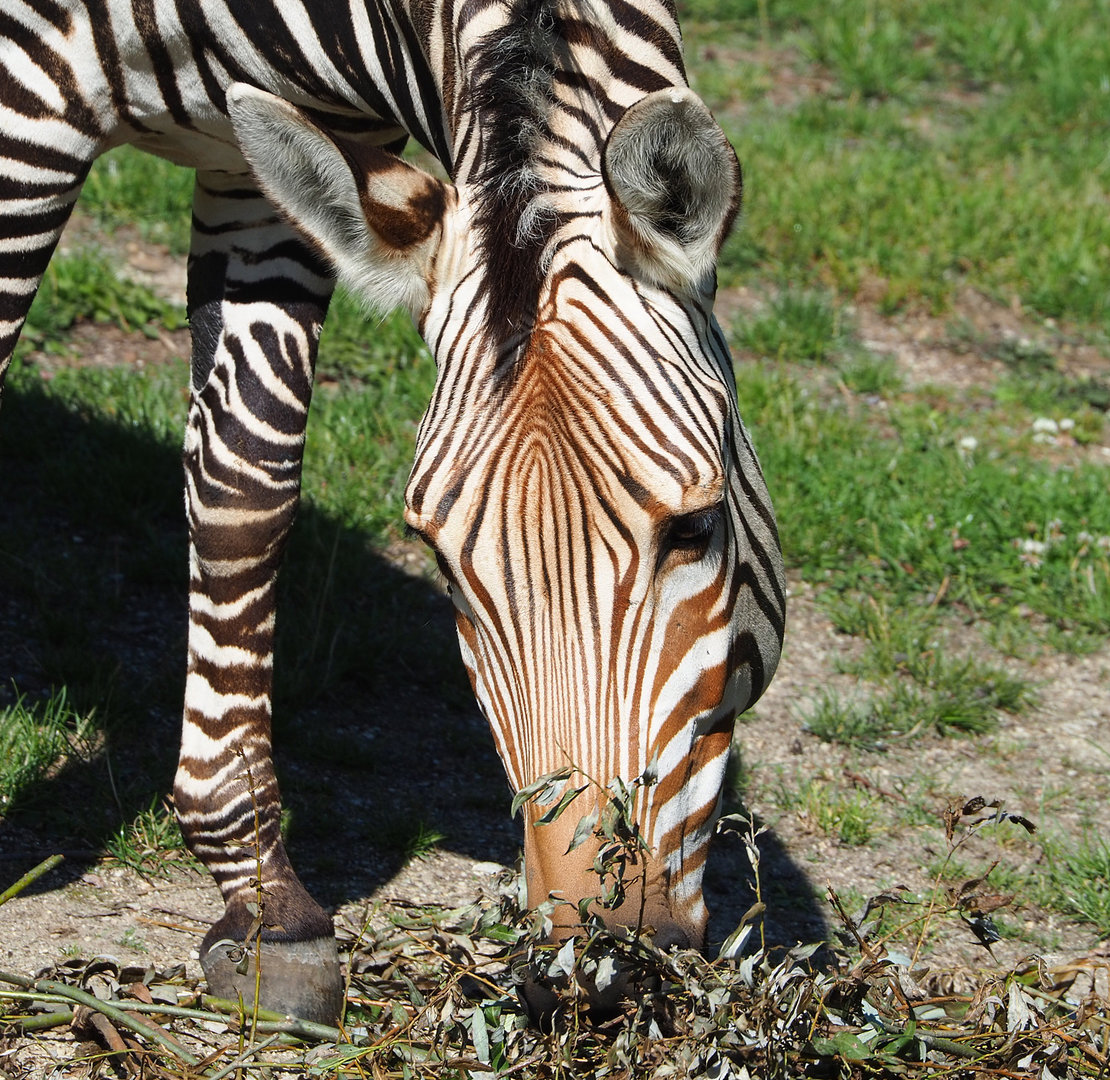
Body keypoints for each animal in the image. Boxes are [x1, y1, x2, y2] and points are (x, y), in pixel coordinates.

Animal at [0, 0, 786, 1021]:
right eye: (440, 560)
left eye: (696, 528)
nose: (593, 968)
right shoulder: (26, 104)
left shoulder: (268, 173)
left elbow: (245, 481)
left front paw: (263, 901)